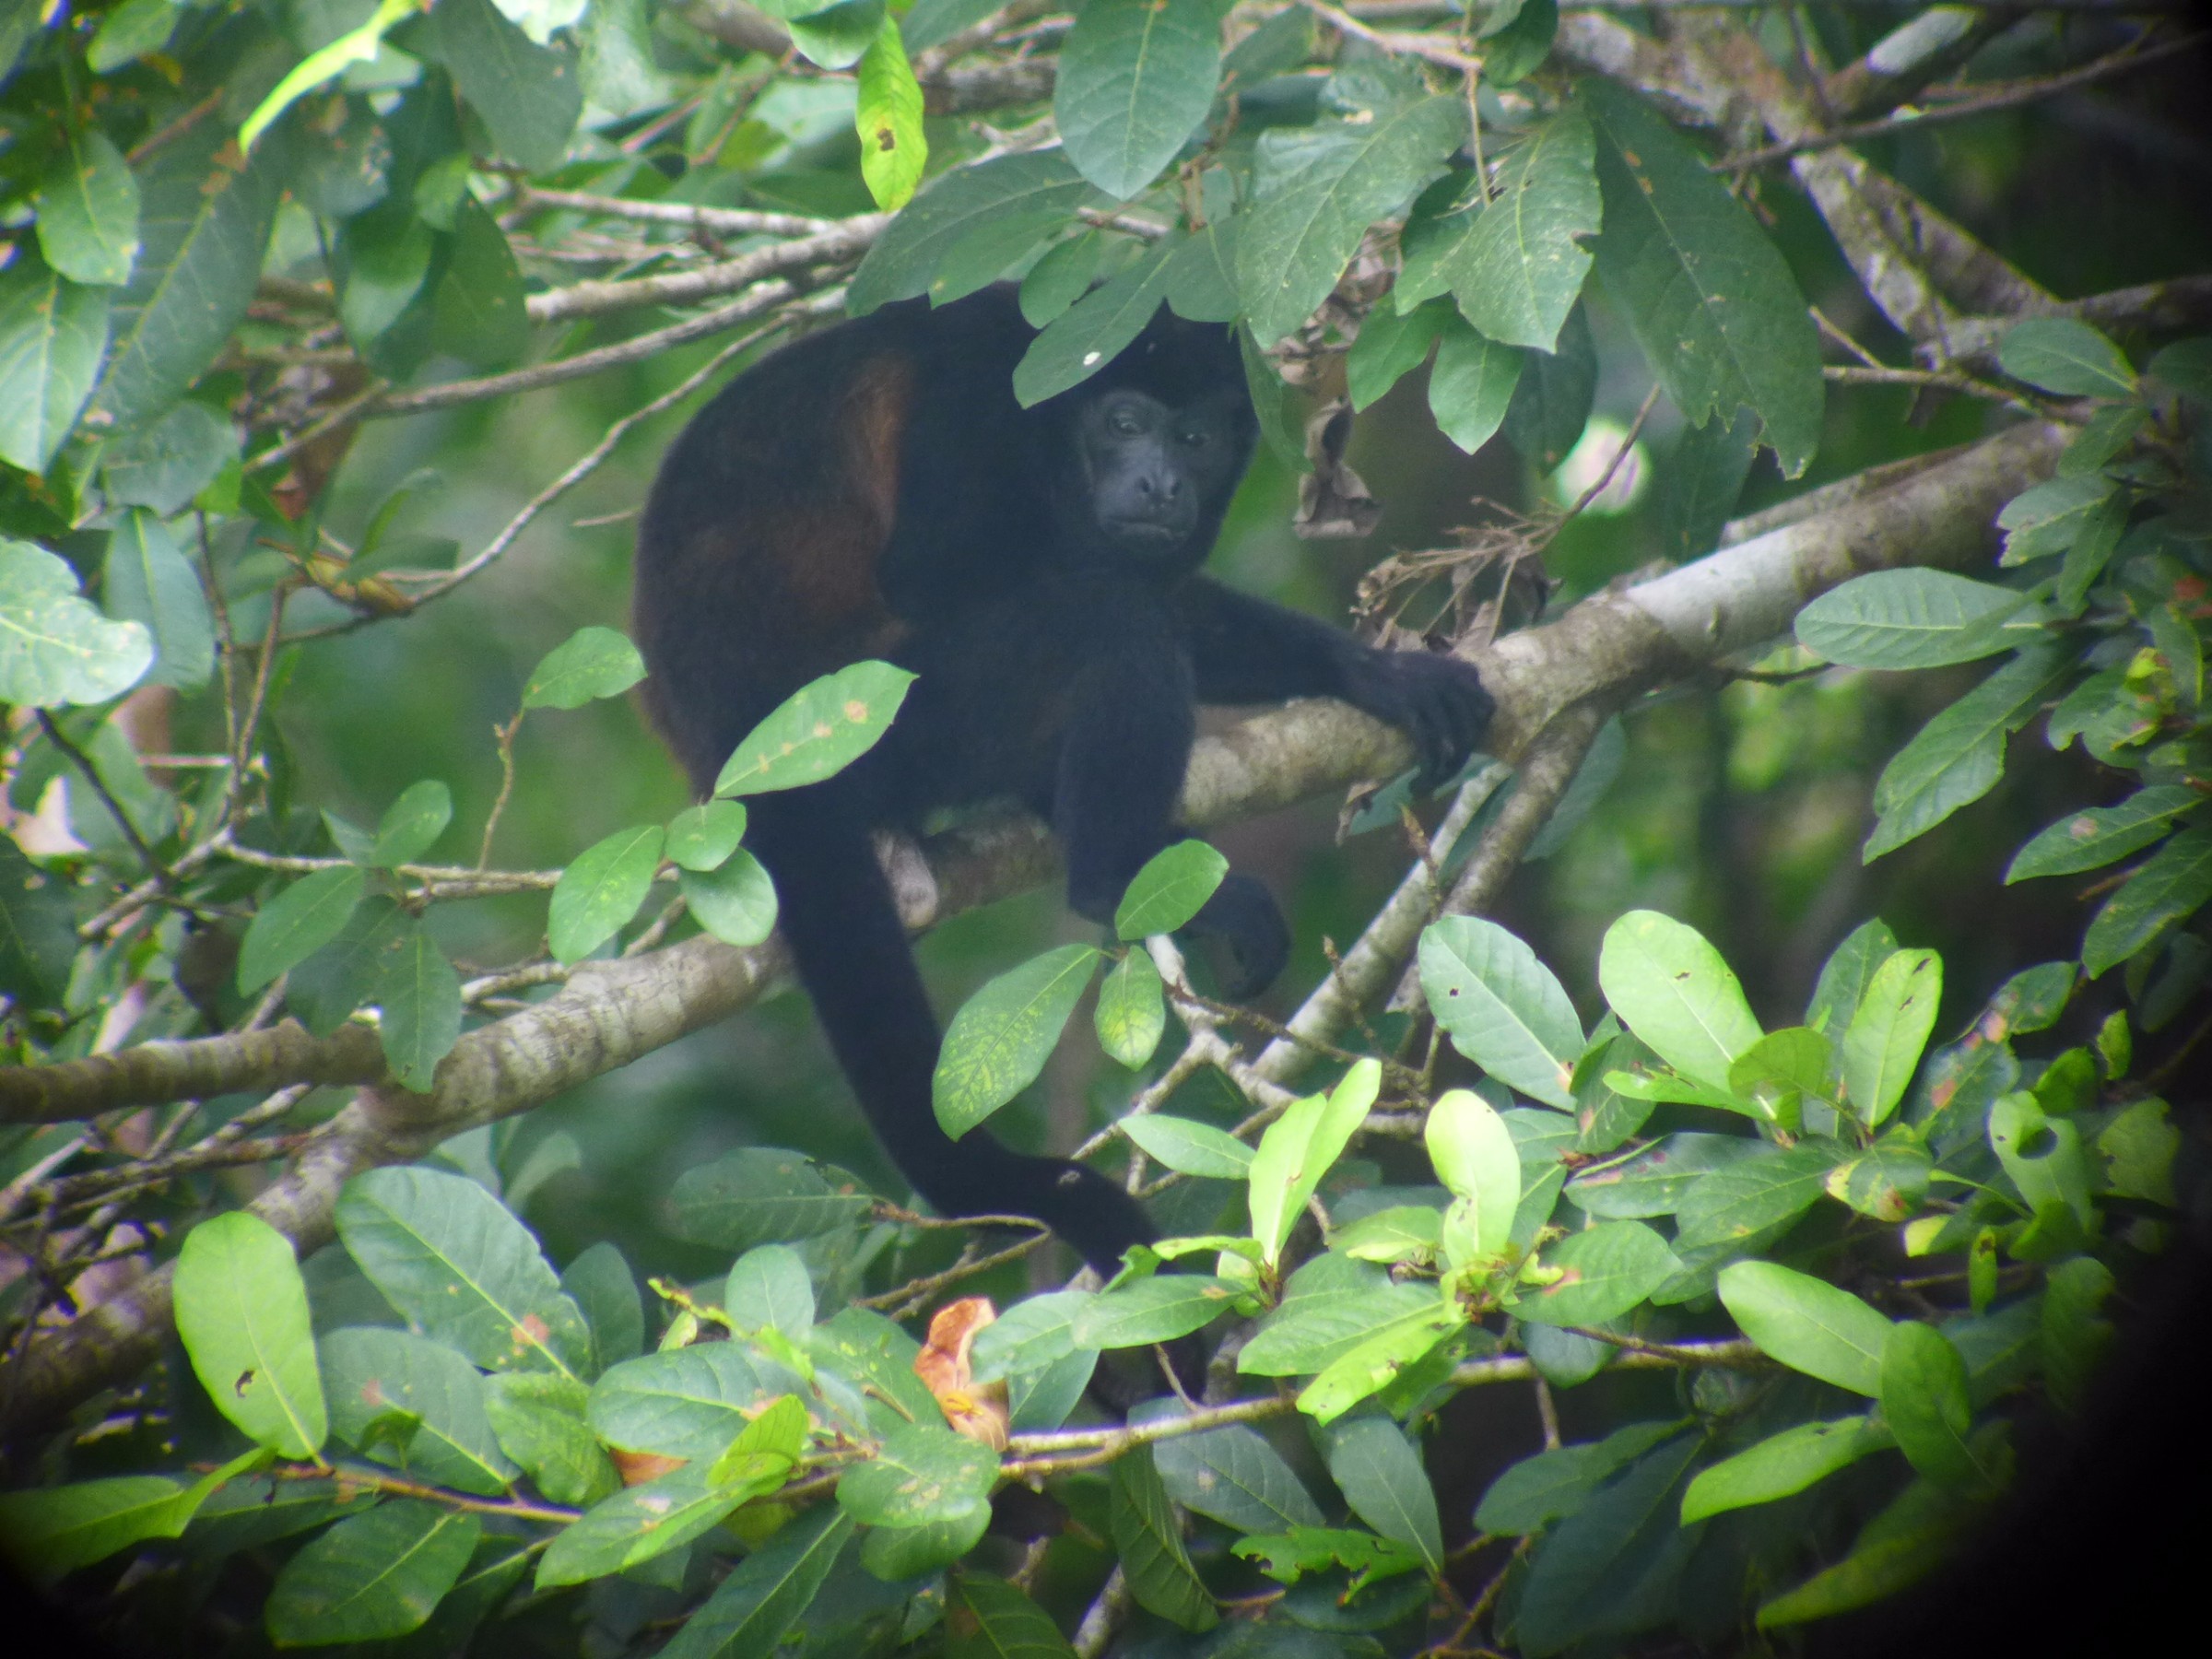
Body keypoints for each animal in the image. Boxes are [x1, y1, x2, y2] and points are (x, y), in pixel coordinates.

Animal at [632, 289, 1495, 1274]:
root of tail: (736, 775)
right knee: (1110, 618)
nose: (1162, 485)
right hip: (887, 724)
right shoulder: (977, 410)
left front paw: (1378, 674)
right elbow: (947, 576)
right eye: (1123, 425)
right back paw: (1113, 877)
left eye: (1195, 438)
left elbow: (1177, 595)